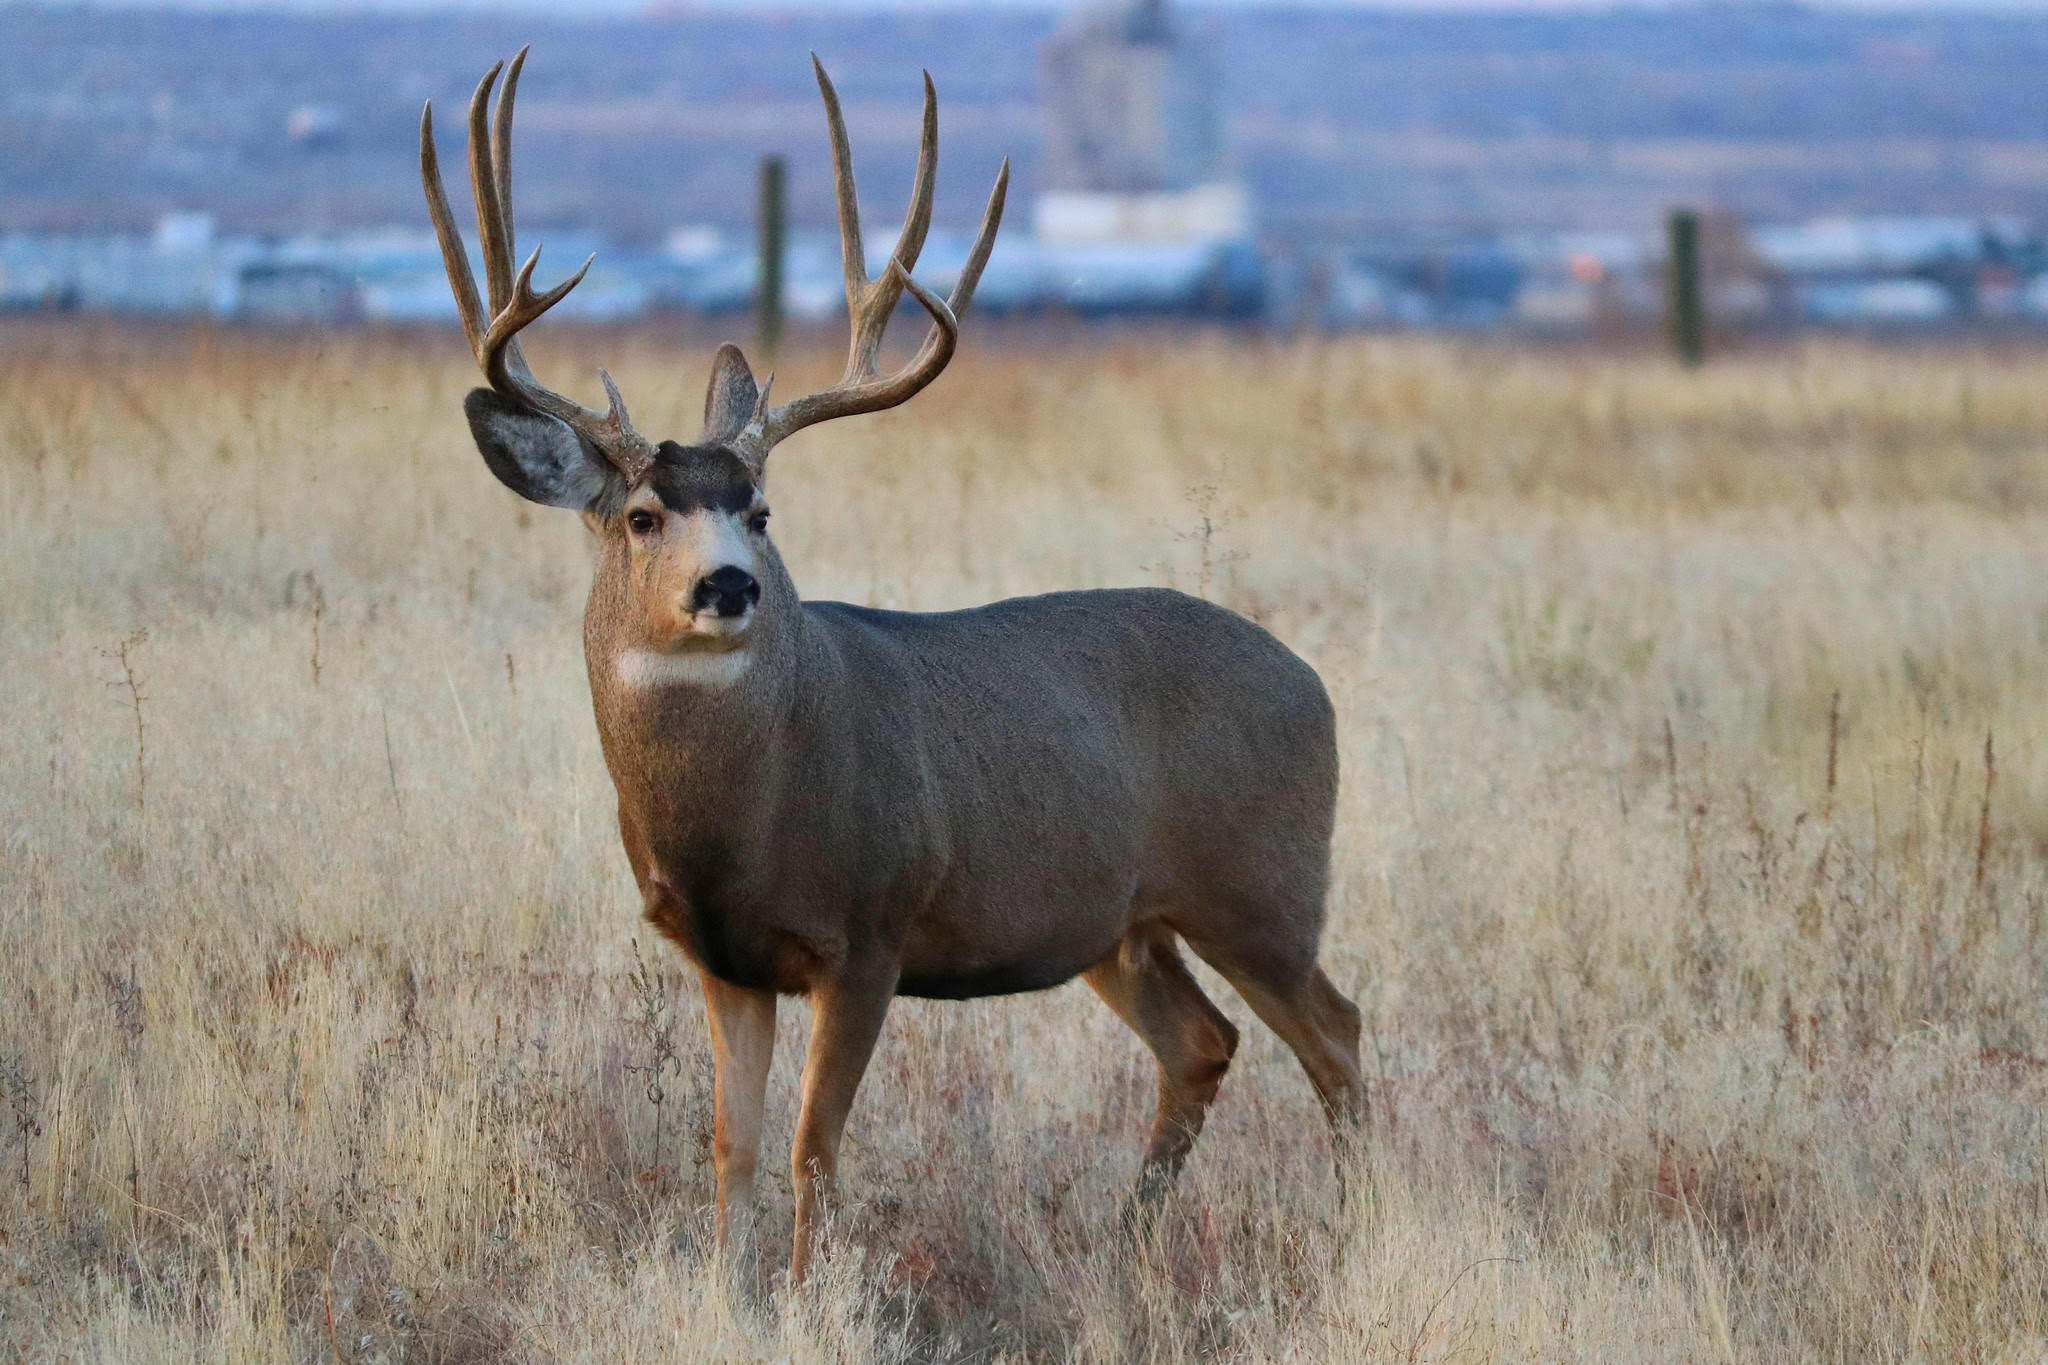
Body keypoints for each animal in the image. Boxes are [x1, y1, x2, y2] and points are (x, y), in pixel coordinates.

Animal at [420, 49, 1366, 1287]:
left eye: (761, 511)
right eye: (639, 516)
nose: (728, 587)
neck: (739, 817)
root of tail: (1312, 683)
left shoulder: (868, 930)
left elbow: (814, 1146)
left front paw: (807, 1295)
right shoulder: (720, 956)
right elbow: (729, 1147)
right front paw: (727, 1297)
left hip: (1260, 883)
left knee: (1335, 1034)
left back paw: (1359, 1223)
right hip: (1116, 922)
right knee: (1202, 1042)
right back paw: (1125, 1237)